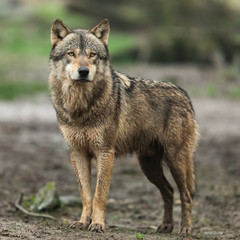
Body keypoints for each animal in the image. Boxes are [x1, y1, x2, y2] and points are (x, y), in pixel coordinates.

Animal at [48, 18, 199, 236]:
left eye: (92, 55)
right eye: (71, 53)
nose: (83, 72)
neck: (81, 106)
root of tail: (185, 94)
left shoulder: (105, 152)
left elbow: (99, 194)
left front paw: (98, 224)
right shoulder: (78, 153)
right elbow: (86, 194)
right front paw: (83, 222)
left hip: (175, 160)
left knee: (186, 194)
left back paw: (185, 229)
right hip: (149, 166)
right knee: (169, 191)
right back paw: (165, 226)